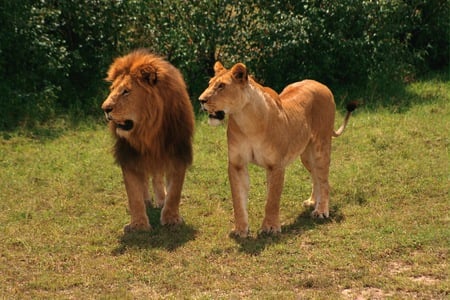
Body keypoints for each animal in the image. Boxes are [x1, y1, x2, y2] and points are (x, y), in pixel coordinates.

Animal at [103, 49, 194, 232]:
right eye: (112, 89)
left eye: (126, 91)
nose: (105, 109)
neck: (148, 132)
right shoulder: (129, 156)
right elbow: (133, 193)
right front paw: (138, 224)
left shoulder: (178, 153)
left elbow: (175, 191)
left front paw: (171, 218)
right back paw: (147, 200)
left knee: (157, 176)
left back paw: (160, 199)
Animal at [199, 62, 356, 238]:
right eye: (209, 83)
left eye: (221, 86)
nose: (201, 100)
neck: (246, 121)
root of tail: (320, 84)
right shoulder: (236, 164)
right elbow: (238, 200)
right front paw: (240, 229)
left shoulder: (276, 165)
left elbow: (272, 200)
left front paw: (271, 227)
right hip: (306, 155)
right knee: (316, 176)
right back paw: (312, 201)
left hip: (320, 147)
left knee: (325, 181)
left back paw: (321, 210)